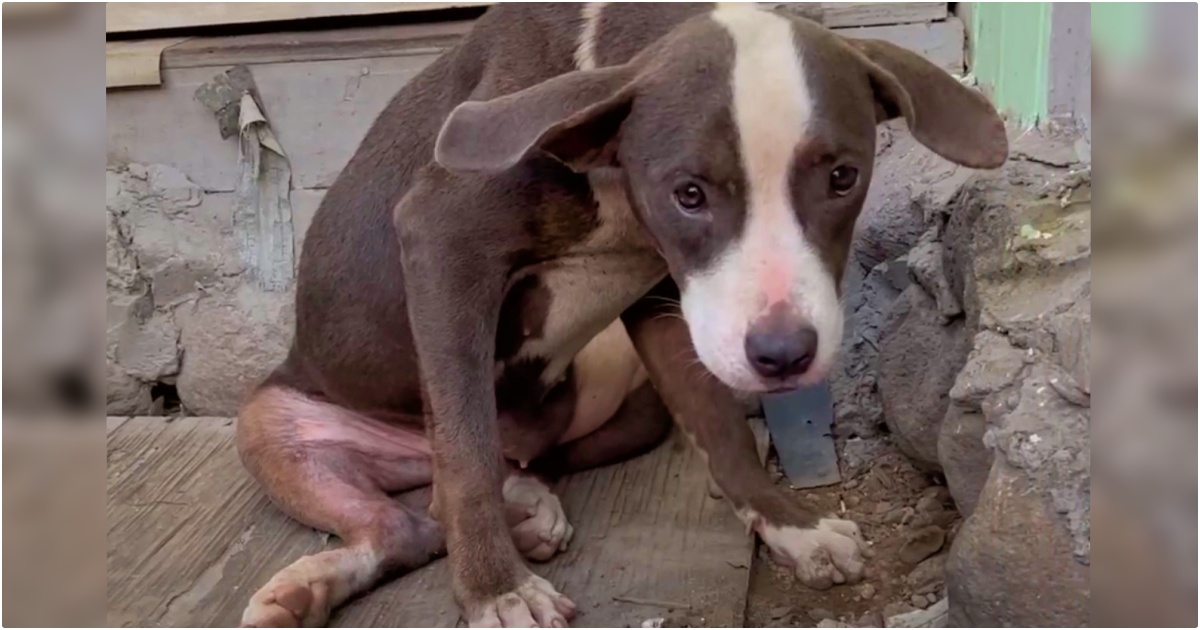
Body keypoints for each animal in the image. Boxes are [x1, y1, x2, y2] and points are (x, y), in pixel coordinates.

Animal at [234, 2, 1003, 624]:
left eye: (843, 177)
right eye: (688, 193)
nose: (784, 356)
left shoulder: (665, 300)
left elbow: (720, 424)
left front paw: (792, 529)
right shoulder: (439, 242)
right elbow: (462, 448)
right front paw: (495, 590)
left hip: (616, 388)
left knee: (487, 481)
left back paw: (527, 505)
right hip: (270, 422)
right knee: (417, 512)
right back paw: (312, 586)